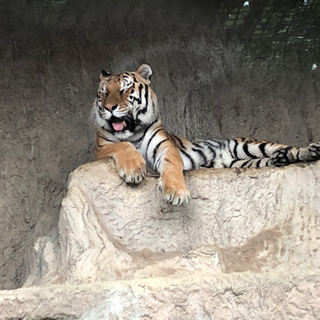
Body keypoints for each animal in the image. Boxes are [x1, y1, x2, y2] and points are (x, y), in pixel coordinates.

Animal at [91, 63, 320, 206]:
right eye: (103, 92)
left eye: (125, 89)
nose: (109, 108)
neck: (131, 130)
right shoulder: (101, 149)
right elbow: (122, 145)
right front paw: (133, 170)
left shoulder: (165, 146)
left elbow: (172, 165)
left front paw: (176, 193)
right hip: (241, 163)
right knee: (268, 160)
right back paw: (280, 159)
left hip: (246, 144)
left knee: (288, 148)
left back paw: (310, 151)